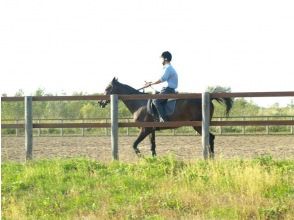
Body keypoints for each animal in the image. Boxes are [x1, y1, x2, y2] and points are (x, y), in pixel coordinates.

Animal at [99, 77, 234, 158]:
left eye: (107, 88)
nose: (100, 102)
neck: (139, 103)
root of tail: (209, 98)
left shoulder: (144, 129)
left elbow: (134, 145)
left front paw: (140, 156)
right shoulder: (151, 130)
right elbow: (152, 146)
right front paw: (153, 159)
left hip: (198, 126)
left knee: (210, 138)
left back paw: (210, 157)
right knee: (211, 138)